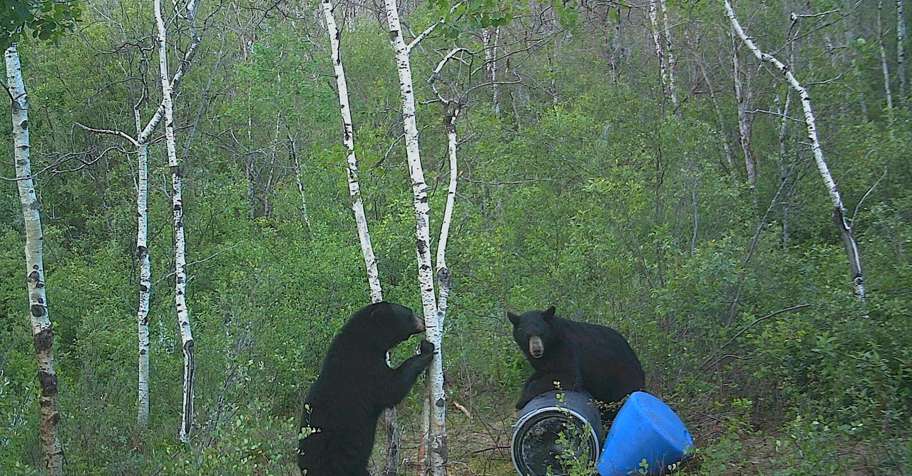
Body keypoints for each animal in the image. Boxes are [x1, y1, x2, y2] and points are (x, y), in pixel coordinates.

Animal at [298, 301, 435, 475]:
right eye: (409, 313)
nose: (423, 321)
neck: (366, 343)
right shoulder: (365, 372)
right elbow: (391, 389)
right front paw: (426, 349)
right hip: (342, 461)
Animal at [508, 306, 644, 410]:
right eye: (527, 335)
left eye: (541, 333)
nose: (537, 350)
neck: (551, 345)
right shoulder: (543, 361)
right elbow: (539, 373)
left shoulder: (566, 348)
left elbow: (570, 376)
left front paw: (521, 401)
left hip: (622, 378)